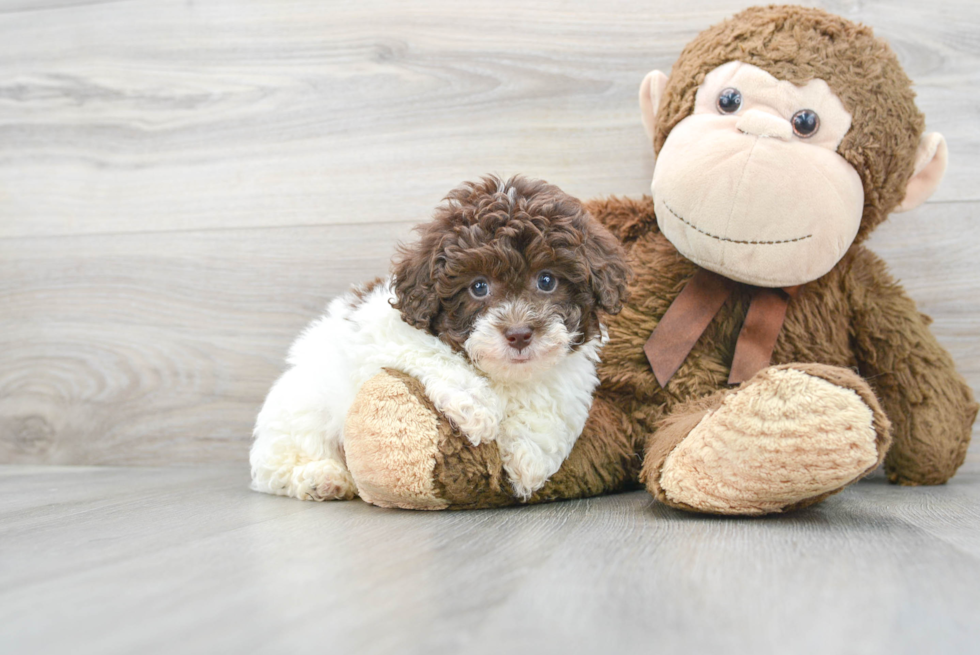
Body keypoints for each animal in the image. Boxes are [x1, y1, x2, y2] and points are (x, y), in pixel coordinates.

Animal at [249, 176, 632, 502]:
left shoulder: (570, 369)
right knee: (276, 466)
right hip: (303, 407)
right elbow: (436, 353)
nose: (519, 334)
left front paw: (529, 458)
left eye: (547, 280)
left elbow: (554, 395)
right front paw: (477, 407)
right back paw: (321, 478)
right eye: (478, 286)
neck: (505, 377)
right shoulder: (388, 330)